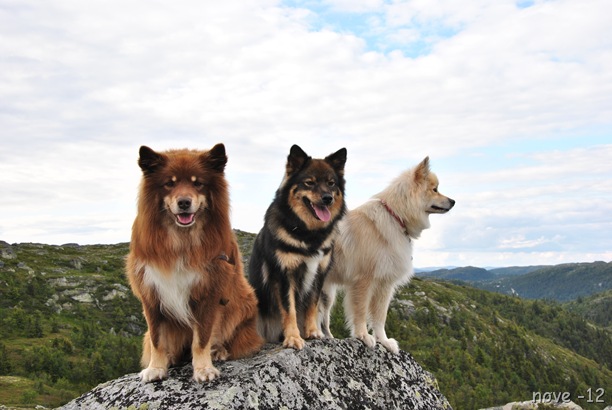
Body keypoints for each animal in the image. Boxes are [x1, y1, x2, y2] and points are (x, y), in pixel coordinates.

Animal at [126, 144, 263, 383]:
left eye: (197, 183)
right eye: (169, 183)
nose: (184, 203)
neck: (182, 240)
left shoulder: (208, 292)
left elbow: (202, 339)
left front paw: (203, 368)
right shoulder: (151, 294)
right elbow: (156, 339)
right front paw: (156, 367)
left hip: (241, 302)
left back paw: (219, 351)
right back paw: (172, 356)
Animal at [248, 144, 347, 350]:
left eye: (331, 183)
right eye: (309, 183)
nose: (327, 198)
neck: (308, 233)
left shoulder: (318, 274)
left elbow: (312, 306)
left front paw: (313, 332)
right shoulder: (284, 274)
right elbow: (290, 309)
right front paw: (293, 337)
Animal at [319, 157, 454, 353]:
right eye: (435, 189)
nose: (453, 201)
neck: (395, 217)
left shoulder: (384, 284)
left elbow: (380, 317)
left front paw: (384, 341)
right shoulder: (363, 281)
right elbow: (360, 312)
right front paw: (363, 336)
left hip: (326, 294)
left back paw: (325, 336)